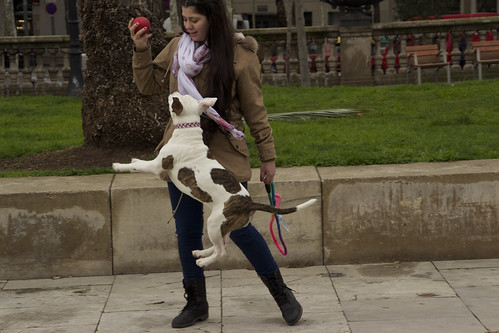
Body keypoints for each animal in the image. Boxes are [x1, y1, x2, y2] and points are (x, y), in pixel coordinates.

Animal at [113, 91, 316, 268]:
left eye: (176, 99)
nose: (173, 91)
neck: (188, 132)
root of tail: (249, 203)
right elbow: (140, 163)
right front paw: (134, 160)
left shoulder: (158, 166)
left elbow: (138, 167)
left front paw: (119, 166)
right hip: (222, 226)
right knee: (223, 243)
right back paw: (201, 252)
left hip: (214, 222)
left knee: (222, 252)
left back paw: (203, 261)